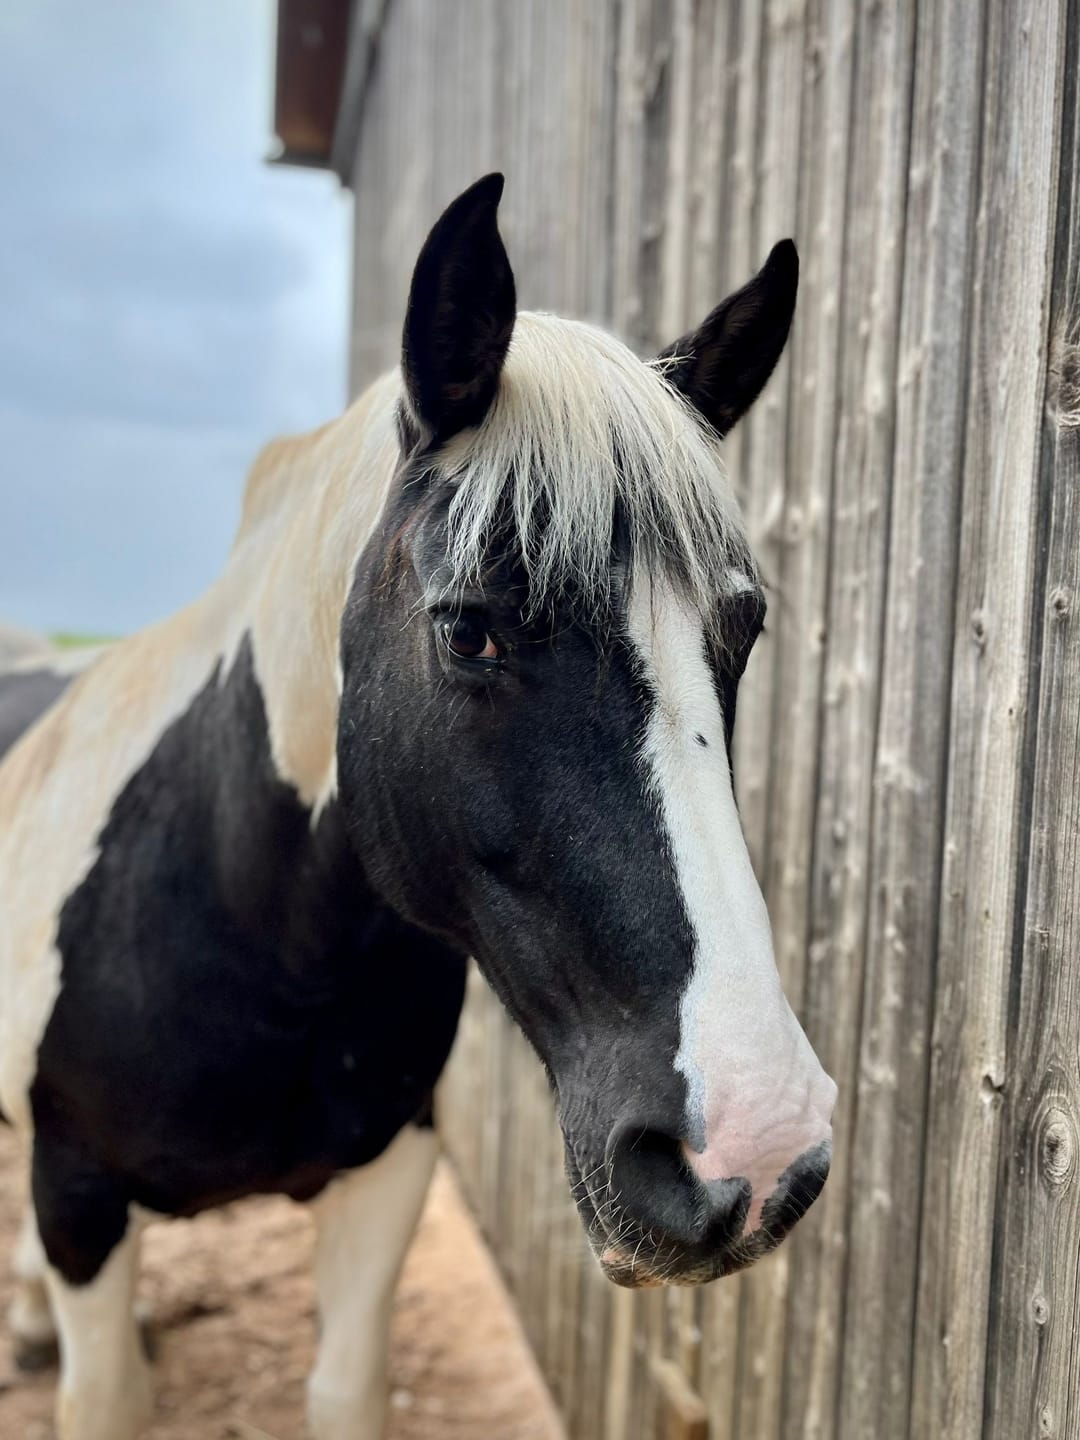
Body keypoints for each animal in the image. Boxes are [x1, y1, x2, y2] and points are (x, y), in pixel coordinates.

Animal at [0, 174, 836, 1440]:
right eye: (469, 630)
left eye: (740, 633)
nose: (757, 1144)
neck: (259, 940)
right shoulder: (79, 1197)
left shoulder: (390, 1171)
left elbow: (345, 1389)